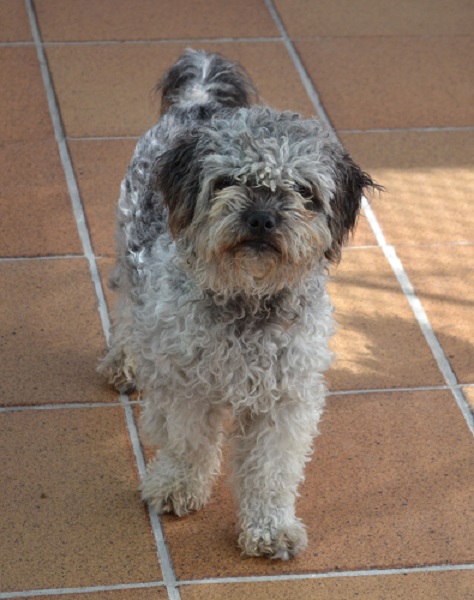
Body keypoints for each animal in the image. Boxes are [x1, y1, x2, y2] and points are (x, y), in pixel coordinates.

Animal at [99, 49, 379, 560]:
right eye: (228, 180)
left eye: (304, 190)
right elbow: (187, 443)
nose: (263, 218)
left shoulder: (287, 399)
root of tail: (199, 100)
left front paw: (270, 529)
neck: (247, 299)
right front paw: (177, 487)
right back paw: (125, 361)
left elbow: (272, 469)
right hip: (129, 251)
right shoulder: (186, 385)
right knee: (130, 309)